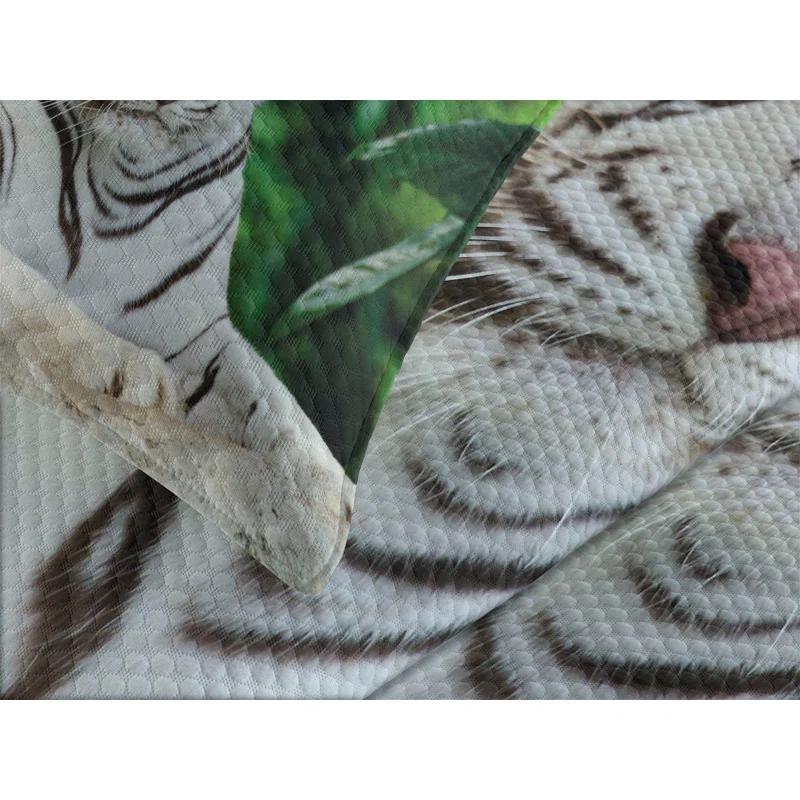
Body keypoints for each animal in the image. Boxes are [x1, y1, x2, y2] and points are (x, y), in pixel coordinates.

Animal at [1, 100, 798, 698]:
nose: (770, 289)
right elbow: (41, 305)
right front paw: (117, 377)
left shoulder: (200, 328)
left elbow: (284, 428)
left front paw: (301, 515)